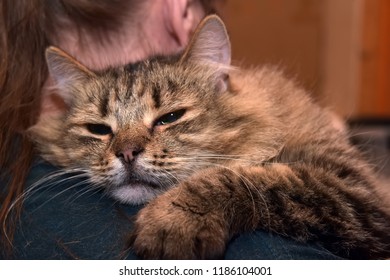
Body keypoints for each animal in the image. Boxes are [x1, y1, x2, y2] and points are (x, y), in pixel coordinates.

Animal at [29, 15, 390, 260]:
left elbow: (248, 179)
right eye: (99, 129)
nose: (128, 153)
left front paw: (174, 220)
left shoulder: (357, 191)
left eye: (170, 117)